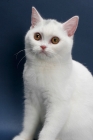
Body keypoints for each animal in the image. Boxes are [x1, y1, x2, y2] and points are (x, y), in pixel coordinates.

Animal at [12, 6, 93, 140]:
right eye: (37, 36)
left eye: (55, 40)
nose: (43, 46)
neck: (42, 68)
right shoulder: (31, 100)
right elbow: (29, 124)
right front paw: (23, 137)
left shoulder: (58, 106)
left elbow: (47, 131)